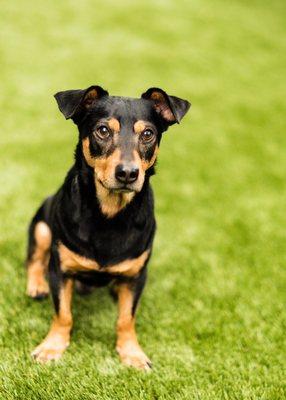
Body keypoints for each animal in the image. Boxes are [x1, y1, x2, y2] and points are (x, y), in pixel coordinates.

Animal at [24, 86, 190, 370]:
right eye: (102, 130)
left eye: (148, 134)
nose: (128, 173)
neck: (110, 215)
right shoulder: (60, 270)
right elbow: (63, 314)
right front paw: (52, 347)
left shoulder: (137, 276)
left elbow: (126, 319)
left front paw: (132, 353)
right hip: (42, 227)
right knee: (34, 259)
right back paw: (36, 286)